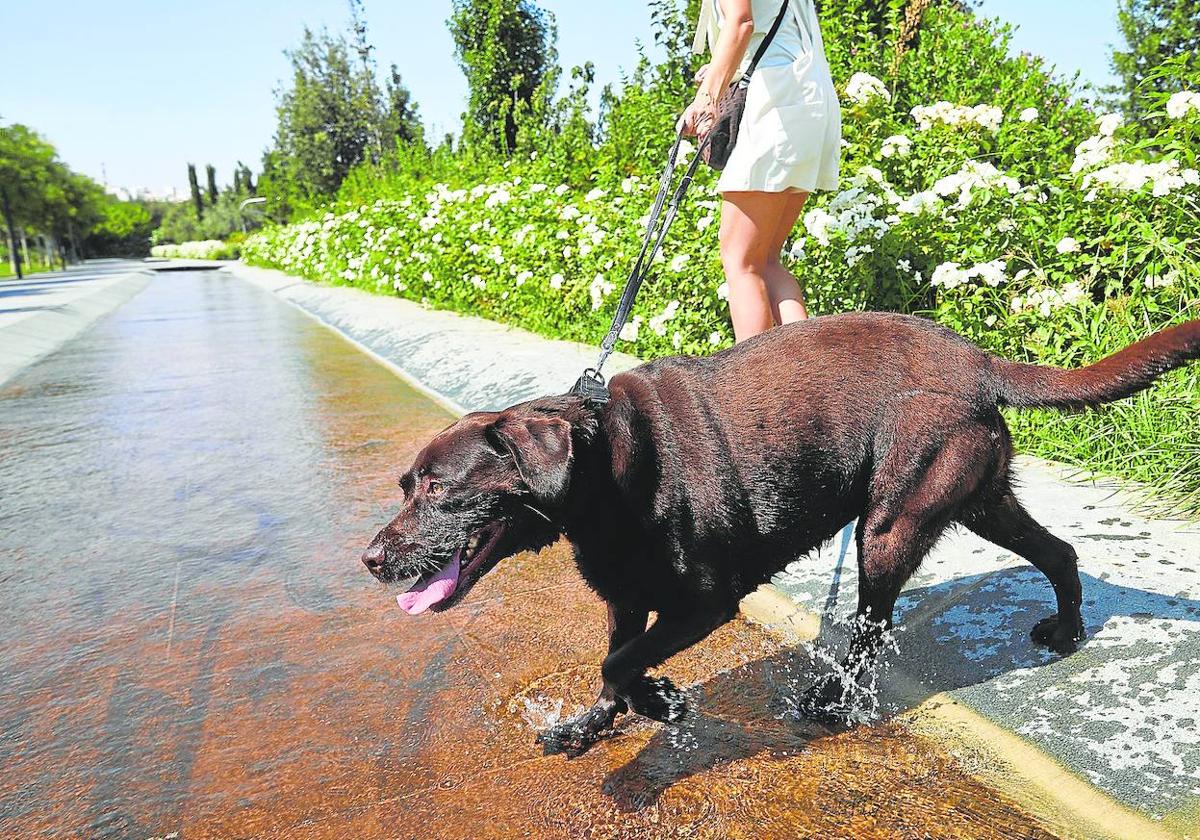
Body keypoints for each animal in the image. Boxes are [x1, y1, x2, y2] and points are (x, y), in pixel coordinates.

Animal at [360, 312, 1195, 758]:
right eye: (406, 485)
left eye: (439, 488)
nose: (369, 558)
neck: (607, 471)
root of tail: (977, 359)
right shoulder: (626, 599)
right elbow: (613, 665)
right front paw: (589, 726)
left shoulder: (705, 604)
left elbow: (622, 664)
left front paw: (663, 705)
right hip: (978, 495)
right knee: (1059, 549)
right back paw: (1068, 628)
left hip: (891, 523)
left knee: (871, 623)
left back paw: (831, 699)